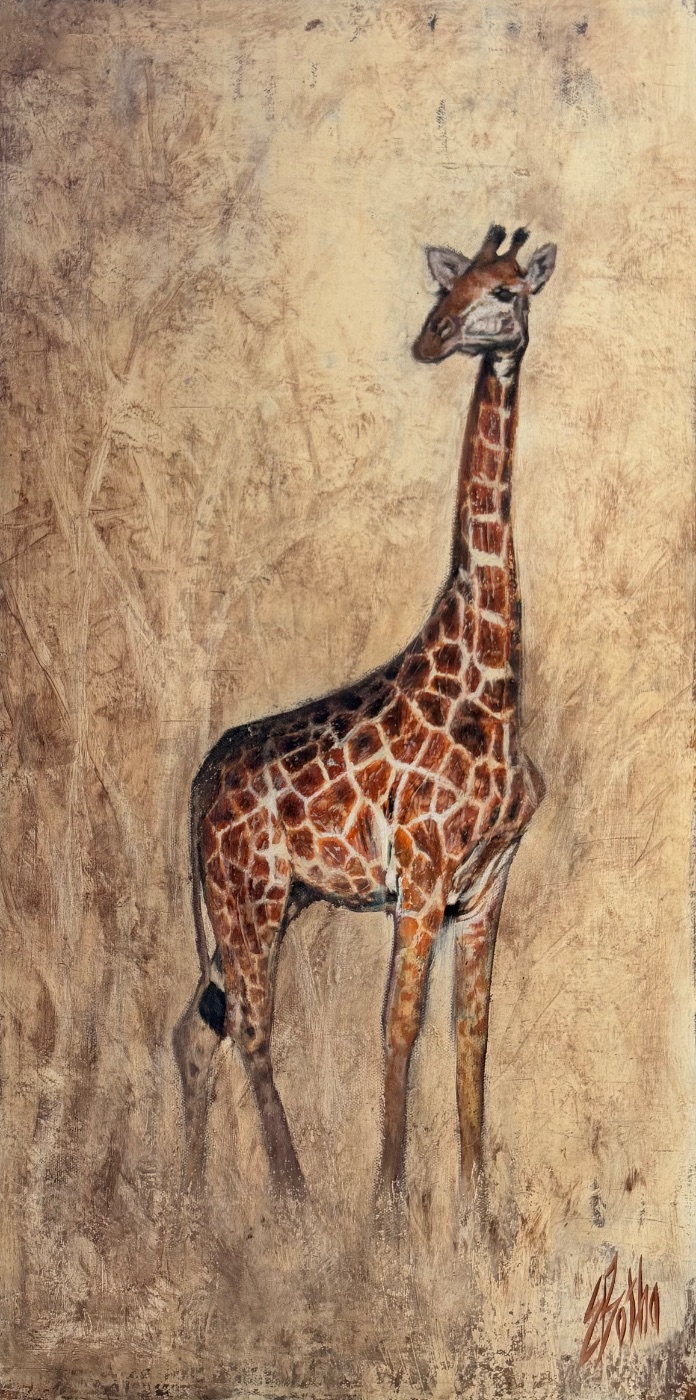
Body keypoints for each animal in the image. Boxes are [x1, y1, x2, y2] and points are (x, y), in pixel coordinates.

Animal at [173, 223, 557, 1206]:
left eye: (505, 293)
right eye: (448, 289)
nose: (431, 338)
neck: (496, 686)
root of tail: (195, 783)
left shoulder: (484, 886)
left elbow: (472, 1034)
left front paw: (475, 1213)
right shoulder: (420, 877)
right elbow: (400, 1023)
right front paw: (387, 1211)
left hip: (268, 899)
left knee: (197, 1029)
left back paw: (190, 1203)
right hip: (250, 893)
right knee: (250, 1028)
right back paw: (295, 1200)